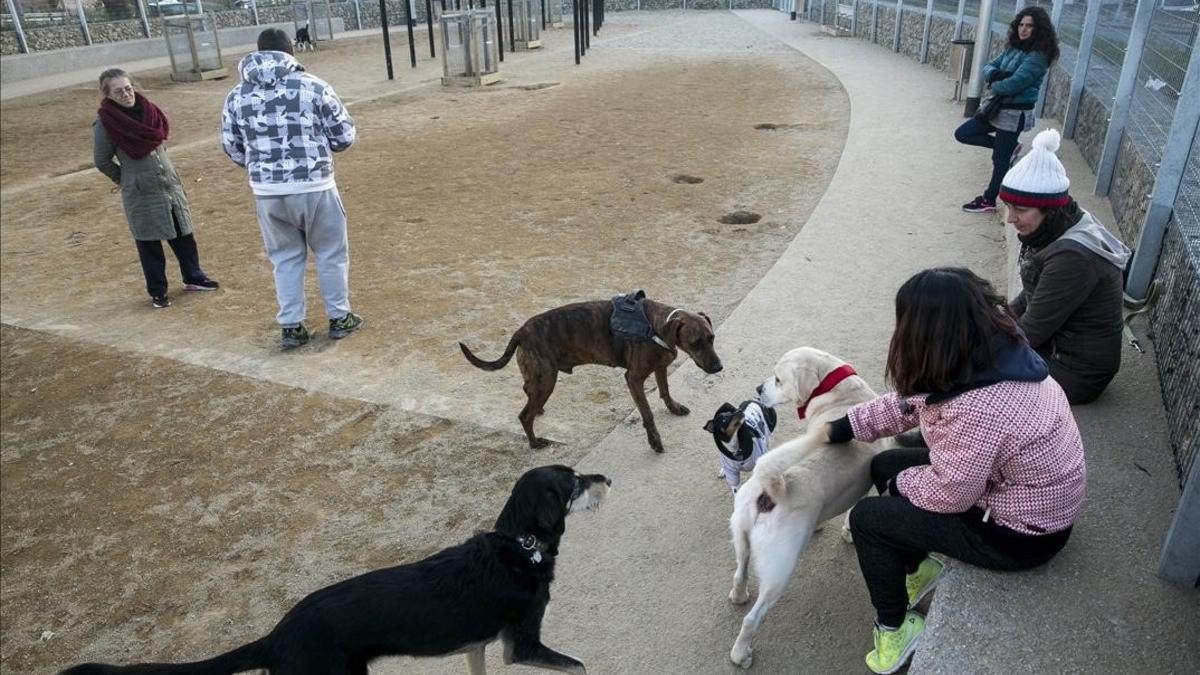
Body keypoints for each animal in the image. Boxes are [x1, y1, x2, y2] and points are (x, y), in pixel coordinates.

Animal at [59, 466, 609, 667]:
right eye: (573, 482)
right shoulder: (525, 645)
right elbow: (579, 665)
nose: (606, 478)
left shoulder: (481, 648)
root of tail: (276, 635)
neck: (520, 546)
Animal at [458, 296, 720, 449]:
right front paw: (654, 441)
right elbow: (647, 414)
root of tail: (521, 331)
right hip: (547, 379)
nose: (719, 367)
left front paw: (674, 408)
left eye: (712, 338)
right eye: (696, 342)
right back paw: (534, 443)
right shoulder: (634, 379)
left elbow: (665, 391)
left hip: (541, 378)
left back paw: (537, 409)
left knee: (528, 392)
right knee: (524, 415)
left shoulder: (660, 367)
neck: (656, 326)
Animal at [724, 345, 888, 667]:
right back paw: (740, 654)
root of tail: (771, 487)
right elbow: (852, 512)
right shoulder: (866, 484)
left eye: (778, 379)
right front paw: (848, 533)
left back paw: (738, 594)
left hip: (741, 533)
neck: (839, 390)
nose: (758, 388)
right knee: (752, 619)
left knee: (740, 570)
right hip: (780, 570)